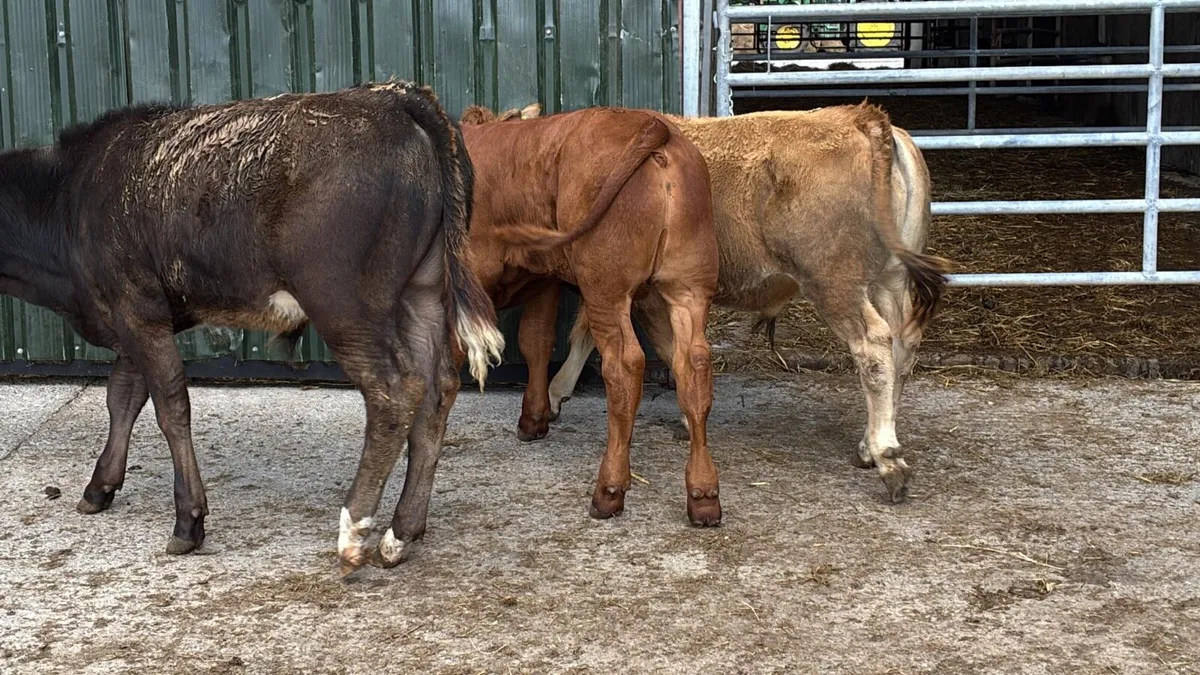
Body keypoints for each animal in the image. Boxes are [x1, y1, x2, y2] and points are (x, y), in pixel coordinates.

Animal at [0, 80, 504, 575]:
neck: (68, 195)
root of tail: (396, 97)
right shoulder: (130, 318)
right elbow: (123, 396)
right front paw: (99, 487)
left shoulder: (136, 308)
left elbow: (169, 406)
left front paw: (188, 521)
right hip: (423, 291)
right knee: (437, 390)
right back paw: (401, 533)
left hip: (345, 302)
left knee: (393, 393)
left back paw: (353, 533)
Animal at [457, 104, 723, 526]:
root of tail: (652, 127)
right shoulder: (545, 278)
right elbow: (535, 341)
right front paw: (534, 418)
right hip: (688, 285)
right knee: (693, 364)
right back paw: (704, 495)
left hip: (606, 287)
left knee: (625, 367)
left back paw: (610, 489)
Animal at [516, 102, 950, 503]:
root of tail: (859, 118)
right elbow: (595, 335)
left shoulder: (630, 289)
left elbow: (637, 343)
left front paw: (553, 396)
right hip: (889, 279)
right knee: (902, 347)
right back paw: (870, 444)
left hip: (834, 282)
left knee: (874, 348)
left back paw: (886, 455)